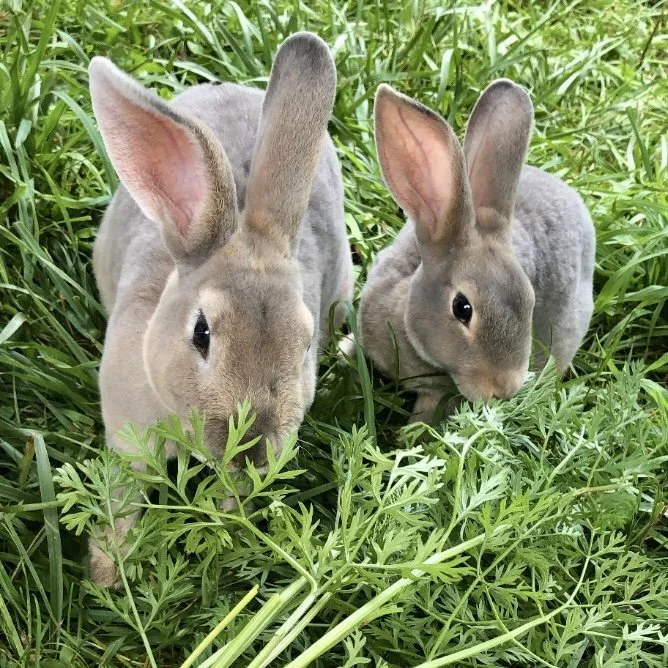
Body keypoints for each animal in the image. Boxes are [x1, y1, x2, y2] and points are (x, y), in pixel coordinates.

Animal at [87, 32, 353, 586]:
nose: (252, 451)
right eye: (201, 333)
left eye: (305, 344)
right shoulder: (126, 439)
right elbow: (122, 495)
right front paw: (108, 576)